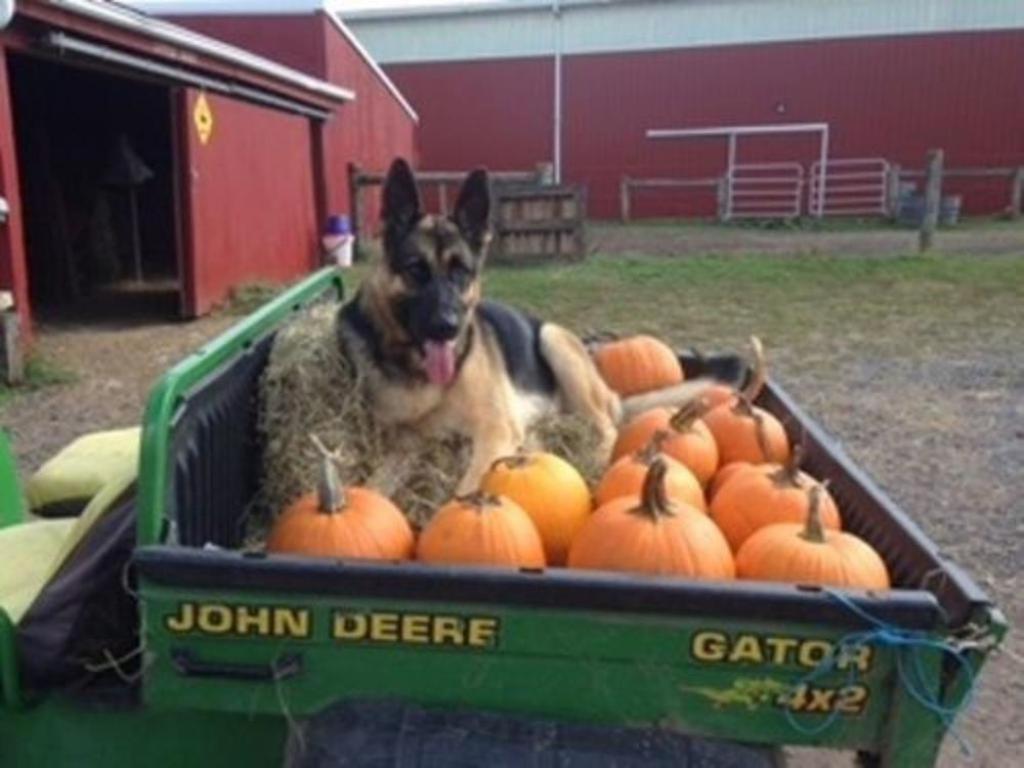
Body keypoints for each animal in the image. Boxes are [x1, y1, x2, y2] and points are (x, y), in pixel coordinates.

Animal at [339, 159, 708, 493]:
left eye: (462, 272)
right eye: (416, 269)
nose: (449, 327)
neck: (419, 374)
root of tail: (611, 393)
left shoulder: (494, 430)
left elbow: (463, 491)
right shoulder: (404, 446)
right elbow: (373, 490)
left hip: (553, 340)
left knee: (607, 427)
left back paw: (595, 463)